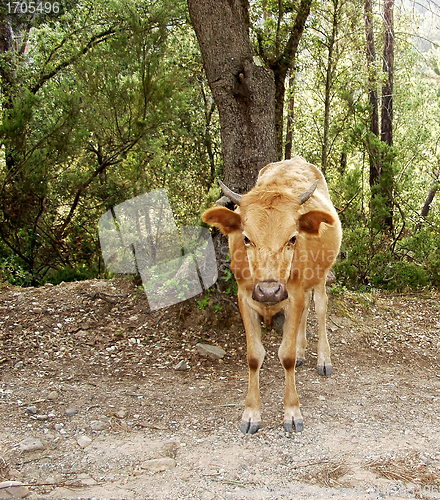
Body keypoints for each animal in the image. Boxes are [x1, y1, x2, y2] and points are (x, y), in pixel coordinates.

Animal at [201, 157, 342, 434]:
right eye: (246, 238)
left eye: (293, 238)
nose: (268, 290)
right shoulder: (245, 297)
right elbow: (254, 357)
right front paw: (251, 413)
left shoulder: (293, 294)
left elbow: (285, 356)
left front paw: (292, 412)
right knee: (305, 311)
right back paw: (302, 351)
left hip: (320, 275)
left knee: (320, 307)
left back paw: (323, 359)